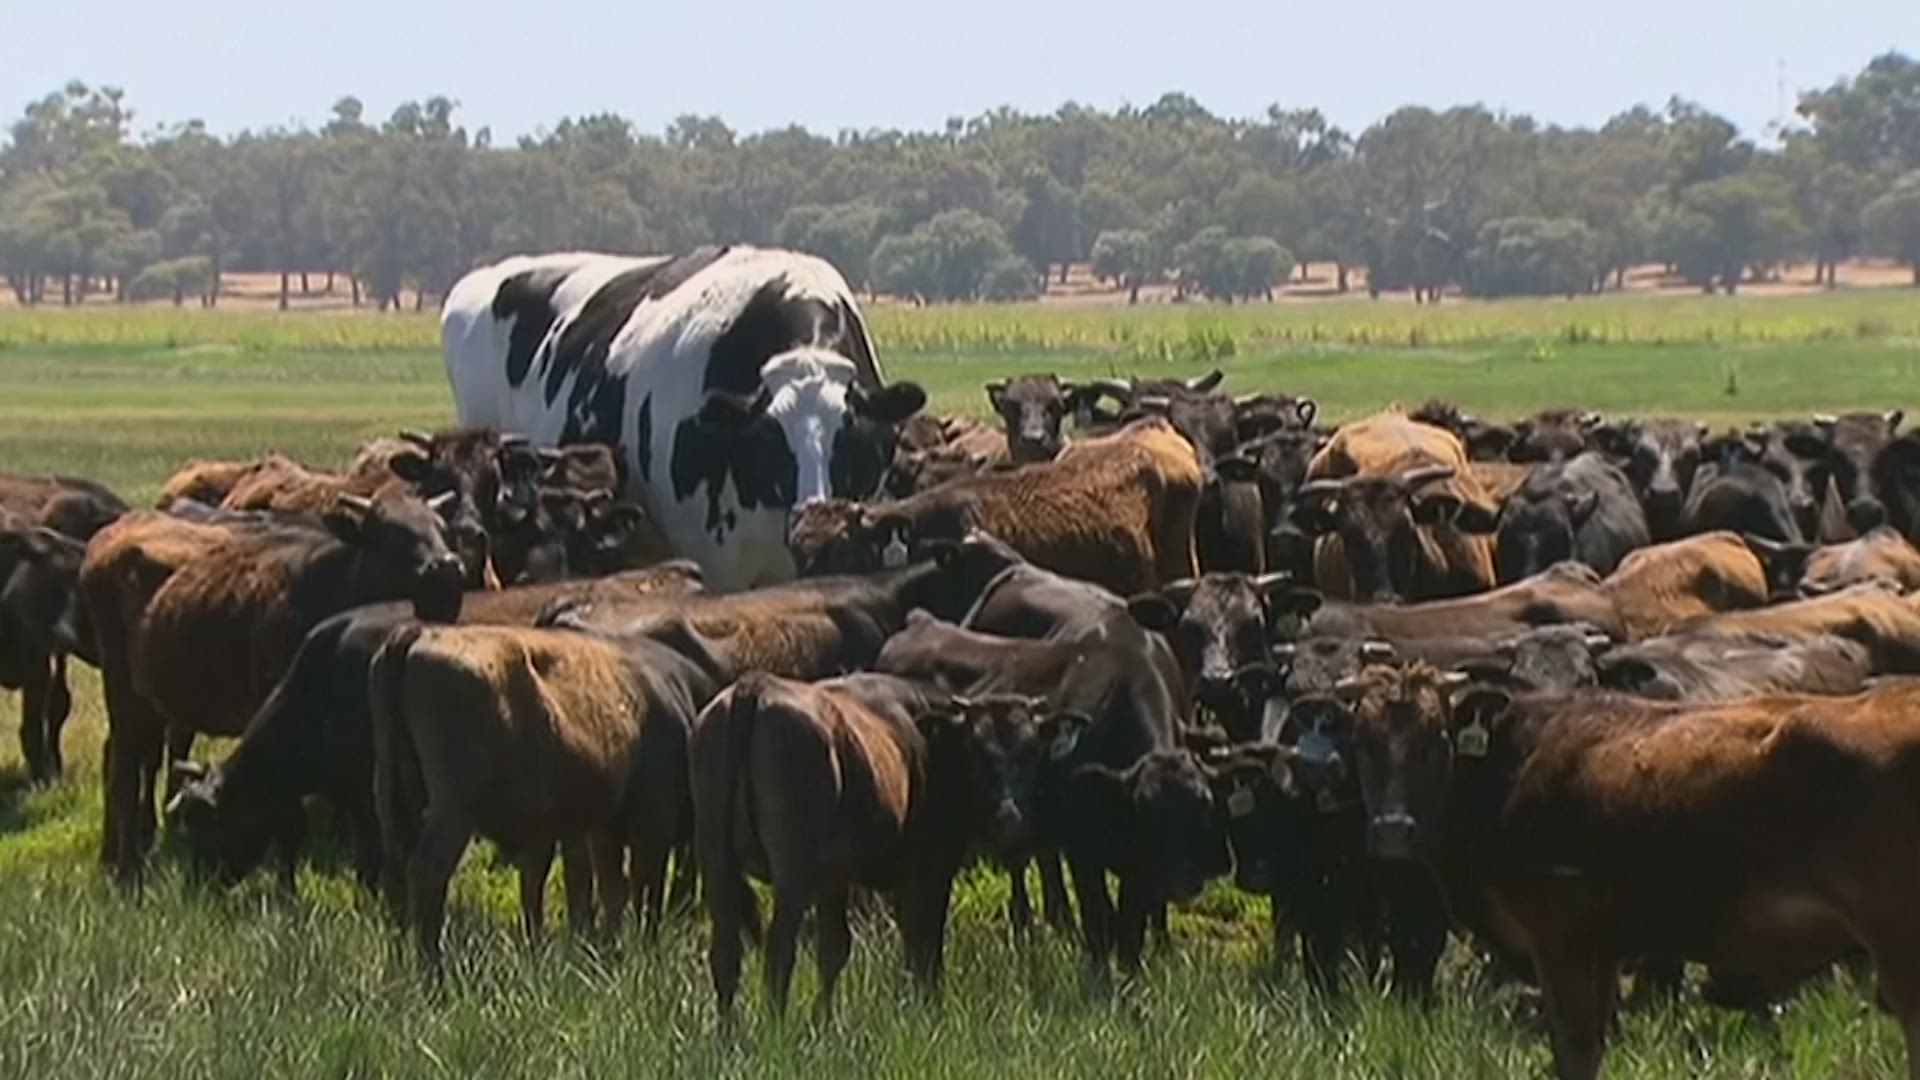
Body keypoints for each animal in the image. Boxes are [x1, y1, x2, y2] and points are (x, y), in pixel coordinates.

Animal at [81, 491, 467, 882]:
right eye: (387, 533)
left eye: (443, 530)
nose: (446, 568)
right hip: (123, 691)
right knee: (124, 770)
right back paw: (128, 870)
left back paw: (114, 851)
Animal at [369, 621, 724, 965]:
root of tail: (422, 634)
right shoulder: (649, 825)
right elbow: (644, 893)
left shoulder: (596, 831)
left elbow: (607, 890)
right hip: (453, 813)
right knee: (427, 871)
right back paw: (432, 971)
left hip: (399, 804)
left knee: (396, 877)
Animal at [694, 675, 1077, 1017]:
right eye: (976, 749)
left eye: (1031, 750)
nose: (1009, 815)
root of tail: (756, 685)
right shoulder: (929, 873)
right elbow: (924, 947)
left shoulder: (835, 881)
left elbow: (834, 951)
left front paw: (824, 1022)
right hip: (792, 877)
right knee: (778, 955)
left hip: (718, 866)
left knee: (726, 957)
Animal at [1335, 664, 1920, 1080]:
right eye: (1362, 741)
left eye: (1436, 738)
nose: (1392, 830)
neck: (1512, 768)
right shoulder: (1601, 950)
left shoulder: (1561, 944)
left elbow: (1574, 1051)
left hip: (1898, 949)